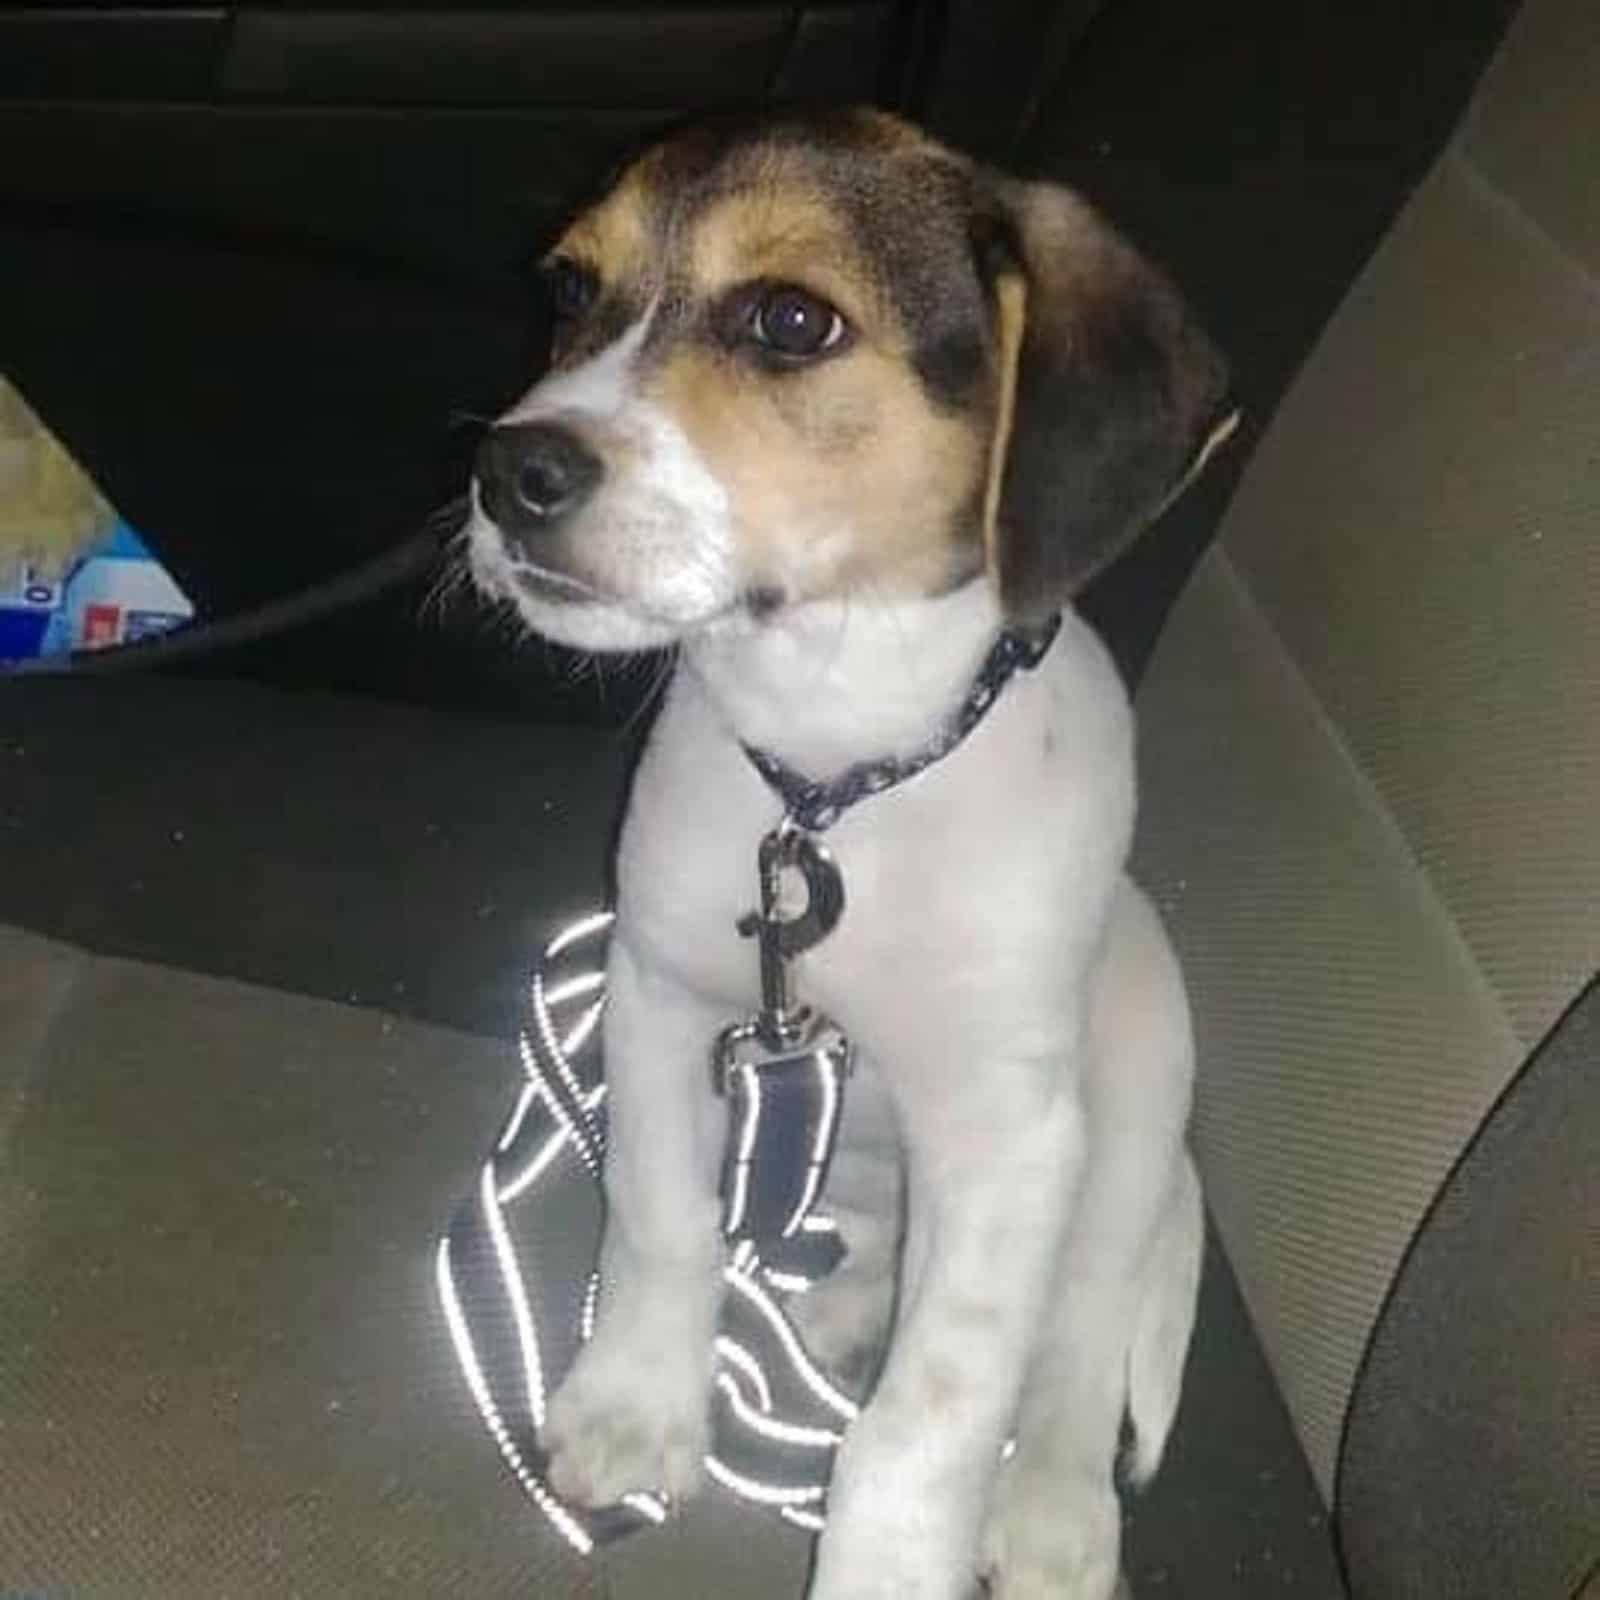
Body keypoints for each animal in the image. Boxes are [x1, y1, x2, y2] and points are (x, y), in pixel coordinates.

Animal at [467, 106, 1228, 1593]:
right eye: (572, 292)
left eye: (790, 318)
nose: (508, 472)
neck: (836, 781)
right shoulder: (658, 997)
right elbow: (660, 1220)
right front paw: (635, 1401)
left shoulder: (1009, 1138)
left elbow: (935, 1414)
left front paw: (891, 1560)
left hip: (1130, 1093)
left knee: (1078, 1335)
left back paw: (1052, 1516)